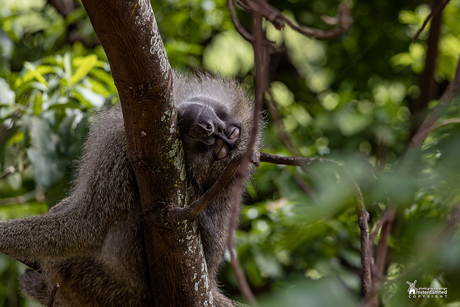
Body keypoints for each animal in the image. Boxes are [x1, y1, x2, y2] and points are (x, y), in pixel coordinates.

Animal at [0, 73, 258, 307]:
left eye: (219, 149)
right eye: (229, 134)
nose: (208, 129)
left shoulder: (120, 149)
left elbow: (85, 226)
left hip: (100, 285)